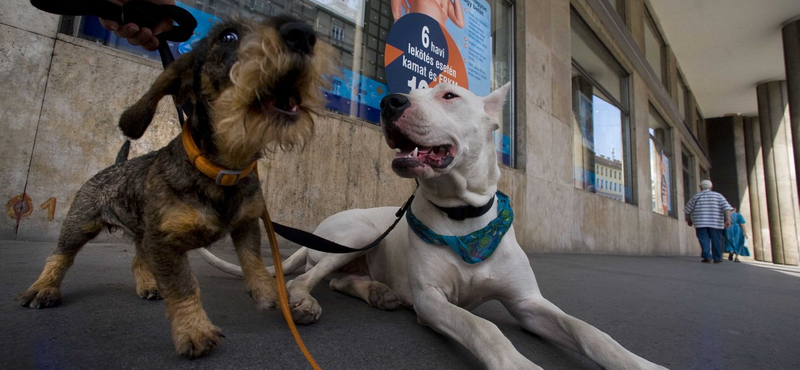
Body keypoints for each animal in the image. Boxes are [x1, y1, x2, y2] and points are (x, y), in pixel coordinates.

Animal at [16, 16, 334, 358]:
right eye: (228, 36)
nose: (303, 33)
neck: (222, 170)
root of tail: (113, 167)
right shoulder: (164, 243)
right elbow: (183, 286)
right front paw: (194, 331)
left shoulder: (247, 222)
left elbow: (253, 259)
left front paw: (267, 291)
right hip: (80, 224)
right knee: (60, 256)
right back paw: (43, 289)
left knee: (137, 259)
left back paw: (147, 285)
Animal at [278, 83, 664, 370]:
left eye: (449, 95)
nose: (388, 102)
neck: (464, 218)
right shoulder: (431, 300)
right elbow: (483, 326)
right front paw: (517, 364)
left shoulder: (528, 302)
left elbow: (587, 329)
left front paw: (637, 363)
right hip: (360, 233)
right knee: (304, 278)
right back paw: (304, 301)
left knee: (340, 280)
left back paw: (377, 291)